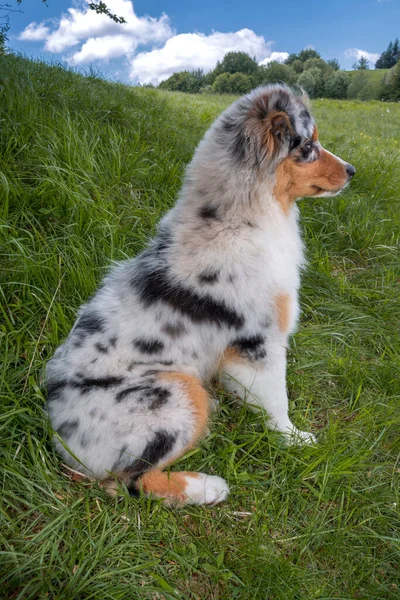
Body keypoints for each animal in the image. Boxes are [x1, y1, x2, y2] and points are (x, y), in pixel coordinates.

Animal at [45, 84, 354, 506]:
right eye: (308, 146)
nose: (353, 171)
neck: (239, 219)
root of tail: (60, 439)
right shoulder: (260, 342)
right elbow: (277, 398)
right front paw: (294, 440)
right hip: (176, 392)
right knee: (131, 480)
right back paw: (209, 486)